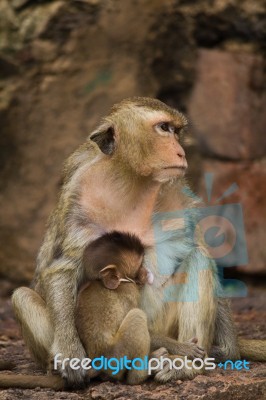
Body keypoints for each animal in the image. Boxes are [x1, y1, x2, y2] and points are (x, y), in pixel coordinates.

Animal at [76, 231, 153, 384]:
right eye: (139, 266)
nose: (146, 272)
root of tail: (97, 363)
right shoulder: (131, 291)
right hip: (117, 356)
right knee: (137, 315)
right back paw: (141, 375)